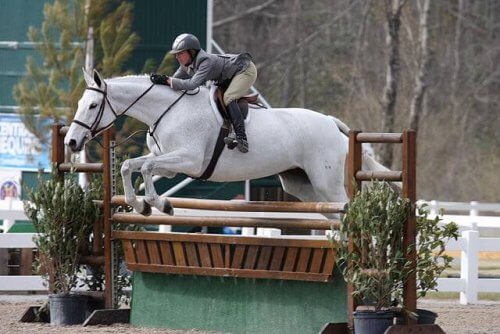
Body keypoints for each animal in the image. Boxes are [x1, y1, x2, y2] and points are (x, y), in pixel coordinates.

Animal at [64, 70, 384, 215]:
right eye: (80, 103)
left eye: (92, 105)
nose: (71, 142)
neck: (167, 109)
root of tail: (331, 122)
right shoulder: (171, 164)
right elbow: (130, 166)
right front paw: (139, 205)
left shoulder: (189, 160)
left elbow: (144, 169)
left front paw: (161, 205)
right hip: (302, 186)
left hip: (326, 183)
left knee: (344, 208)